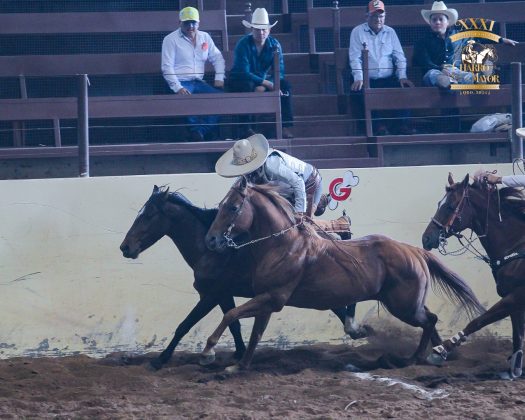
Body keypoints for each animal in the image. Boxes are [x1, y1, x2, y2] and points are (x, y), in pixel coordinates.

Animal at [118, 185, 364, 370]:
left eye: (148, 214)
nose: (125, 247)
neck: (209, 251)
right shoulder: (224, 295)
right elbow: (233, 323)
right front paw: (238, 353)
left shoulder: (211, 295)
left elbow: (185, 324)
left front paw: (160, 359)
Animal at [204, 179, 484, 372]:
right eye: (220, 205)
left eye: (232, 207)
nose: (211, 240)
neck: (283, 245)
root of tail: (414, 250)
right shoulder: (267, 300)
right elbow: (255, 334)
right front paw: (240, 365)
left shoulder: (273, 298)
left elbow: (230, 314)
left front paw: (208, 351)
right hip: (410, 304)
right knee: (431, 320)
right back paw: (437, 353)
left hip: (404, 307)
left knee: (429, 321)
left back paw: (414, 358)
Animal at [422, 172, 524, 378]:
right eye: (439, 203)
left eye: (450, 206)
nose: (426, 238)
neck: (516, 245)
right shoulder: (512, 298)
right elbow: (518, 333)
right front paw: (515, 367)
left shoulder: (517, 295)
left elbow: (478, 321)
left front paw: (441, 350)